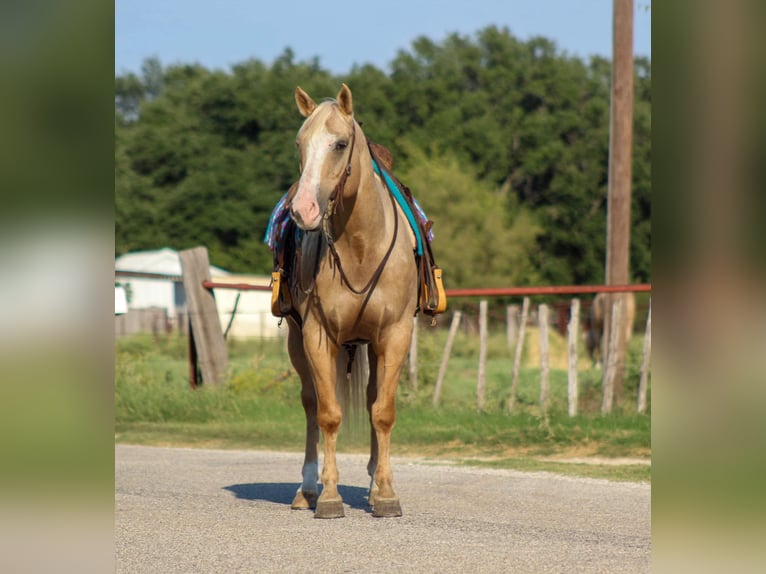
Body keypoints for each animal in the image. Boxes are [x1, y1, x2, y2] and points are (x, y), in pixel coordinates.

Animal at [282, 84, 419, 518]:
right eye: (300, 144)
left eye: (340, 144)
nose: (303, 210)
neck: (360, 247)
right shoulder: (317, 335)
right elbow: (328, 415)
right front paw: (328, 496)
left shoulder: (395, 334)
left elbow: (383, 412)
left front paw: (386, 494)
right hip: (296, 341)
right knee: (310, 403)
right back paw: (307, 488)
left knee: (374, 399)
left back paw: (374, 484)